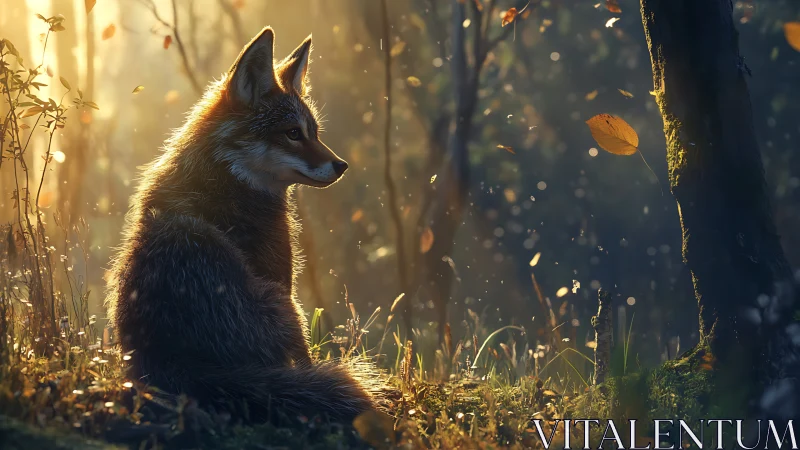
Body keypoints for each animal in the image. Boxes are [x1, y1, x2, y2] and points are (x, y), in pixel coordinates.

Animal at [105, 27, 376, 422]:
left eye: (313, 132)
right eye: (292, 133)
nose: (341, 166)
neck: (225, 173)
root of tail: (181, 362)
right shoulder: (282, 278)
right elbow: (305, 361)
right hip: (286, 307)